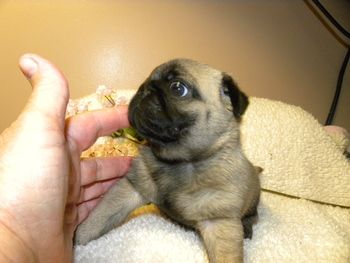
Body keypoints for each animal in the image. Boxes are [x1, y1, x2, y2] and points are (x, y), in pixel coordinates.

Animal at [75, 59, 260, 263]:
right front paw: (78, 239)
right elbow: (99, 217)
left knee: (252, 216)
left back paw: (247, 228)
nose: (144, 89)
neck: (181, 162)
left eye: (178, 88)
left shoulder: (219, 222)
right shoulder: (132, 188)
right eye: (146, 81)